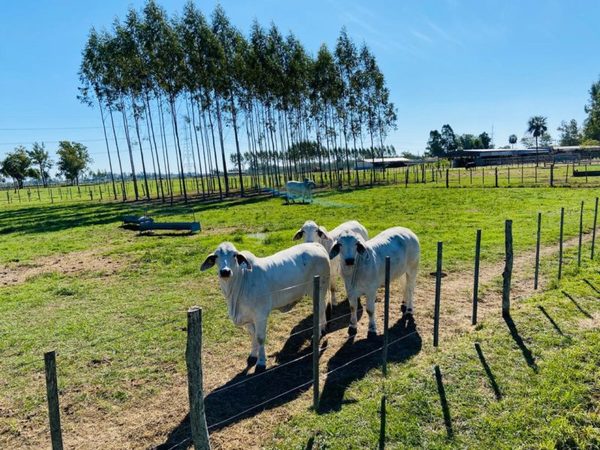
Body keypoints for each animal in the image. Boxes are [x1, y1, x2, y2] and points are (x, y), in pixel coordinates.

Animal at [200, 243, 330, 370]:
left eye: (235, 255)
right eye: (216, 256)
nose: (225, 271)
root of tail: (316, 245)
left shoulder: (260, 315)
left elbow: (260, 338)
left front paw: (261, 362)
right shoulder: (247, 318)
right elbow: (252, 335)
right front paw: (253, 355)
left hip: (319, 289)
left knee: (320, 309)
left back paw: (317, 334)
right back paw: (323, 327)